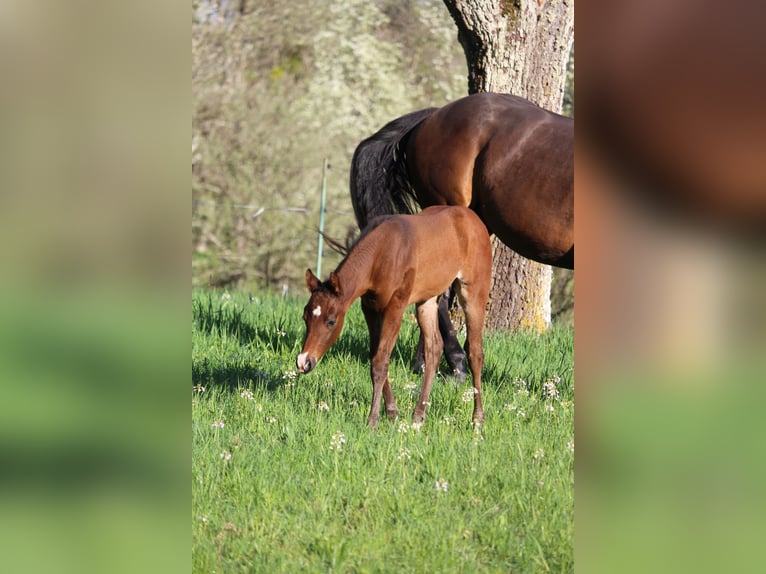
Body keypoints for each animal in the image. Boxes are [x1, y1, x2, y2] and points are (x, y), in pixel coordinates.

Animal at [296, 206, 492, 429]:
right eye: (305, 317)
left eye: (331, 321)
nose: (303, 362)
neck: (382, 252)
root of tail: (475, 220)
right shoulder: (370, 309)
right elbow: (376, 356)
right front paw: (391, 412)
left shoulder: (395, 307)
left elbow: (380, 361)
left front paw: (373, 420)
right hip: (426, 301)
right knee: (434, 348)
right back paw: (418, 416)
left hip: (473, 293)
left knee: (475, 352)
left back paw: (477, 418)